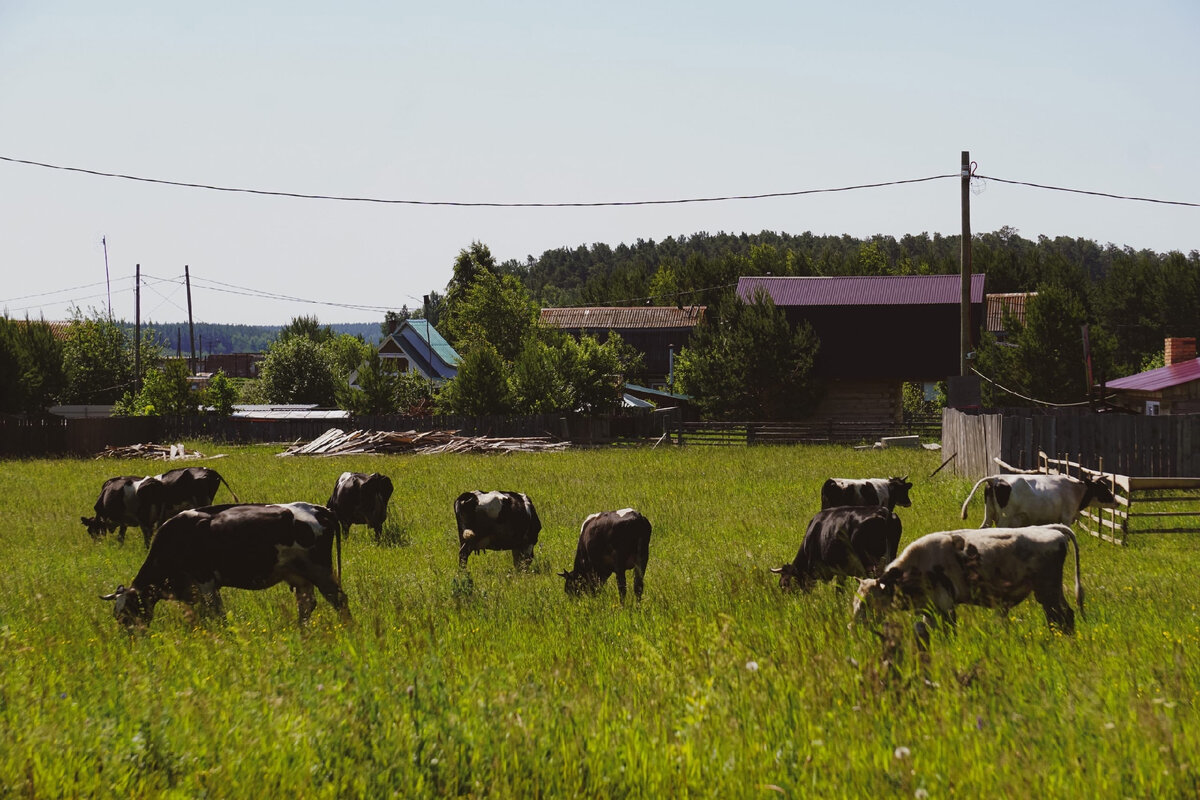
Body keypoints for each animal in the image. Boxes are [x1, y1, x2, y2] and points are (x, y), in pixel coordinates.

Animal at [100, 501, 350, 633]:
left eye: (129, 611)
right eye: (116, 614)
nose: (131, 637)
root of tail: (318, 509)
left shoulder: (206, 582)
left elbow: (216, 613)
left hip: (320, 571)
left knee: (339, 599)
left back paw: (348, 628)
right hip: (300, 576)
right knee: (306, 604)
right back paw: (302, 631)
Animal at [849, 525, 1084, 638]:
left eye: (867, 603)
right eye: (854, 602)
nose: (852, 627)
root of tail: (1052, 530)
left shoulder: (946, 605)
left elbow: (949, 631)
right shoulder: (930, 608)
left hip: (1047, 590)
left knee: (1062, 616)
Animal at [955, 472, 1113, 527]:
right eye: (1104, 488)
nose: (1116, 501)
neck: (1076, 490)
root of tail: (996, 478)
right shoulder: (1066, 518)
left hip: (989, 514)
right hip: (1004, 519)